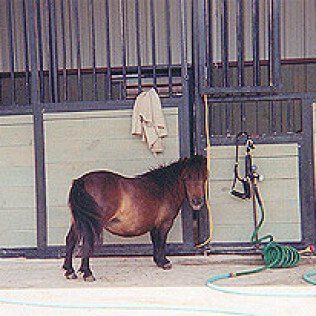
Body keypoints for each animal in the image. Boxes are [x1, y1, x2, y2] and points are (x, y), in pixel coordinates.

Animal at [61, 154, 207, 280]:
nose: (197, 202)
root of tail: (82, 181)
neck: (163, 188)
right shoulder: (164, 224)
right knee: (86, 242)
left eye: (204, 177)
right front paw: (164, 262)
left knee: (70, 240)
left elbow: (155, 242)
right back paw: (87, 273)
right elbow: (161, 242)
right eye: (186, 177)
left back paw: (69, 271)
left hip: (77, 221)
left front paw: (158, 261)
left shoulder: (154, 225)